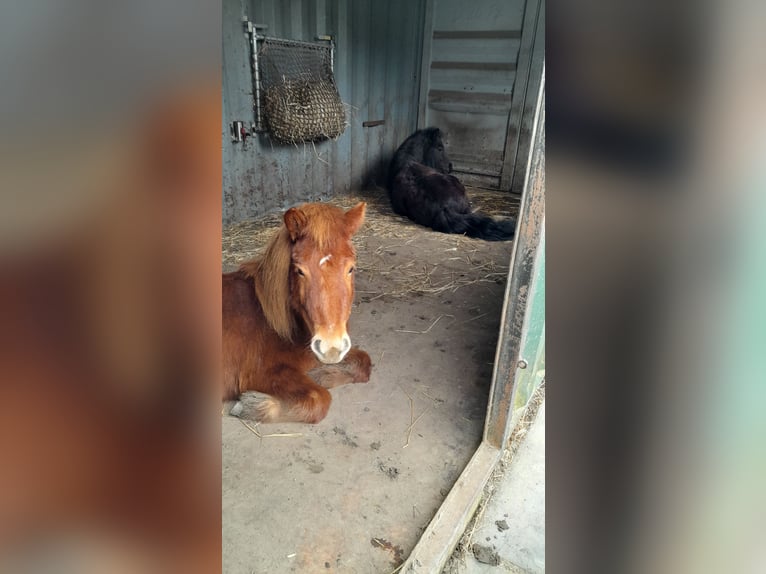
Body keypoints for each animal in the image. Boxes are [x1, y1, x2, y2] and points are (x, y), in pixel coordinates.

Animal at [224, 201, 374, 424]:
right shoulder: (264, 373)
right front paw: (253, 405)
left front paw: (323, 374)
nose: (330, 348)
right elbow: (319, 399)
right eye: (300, 271)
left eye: (351, 268)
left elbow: (364, 362)